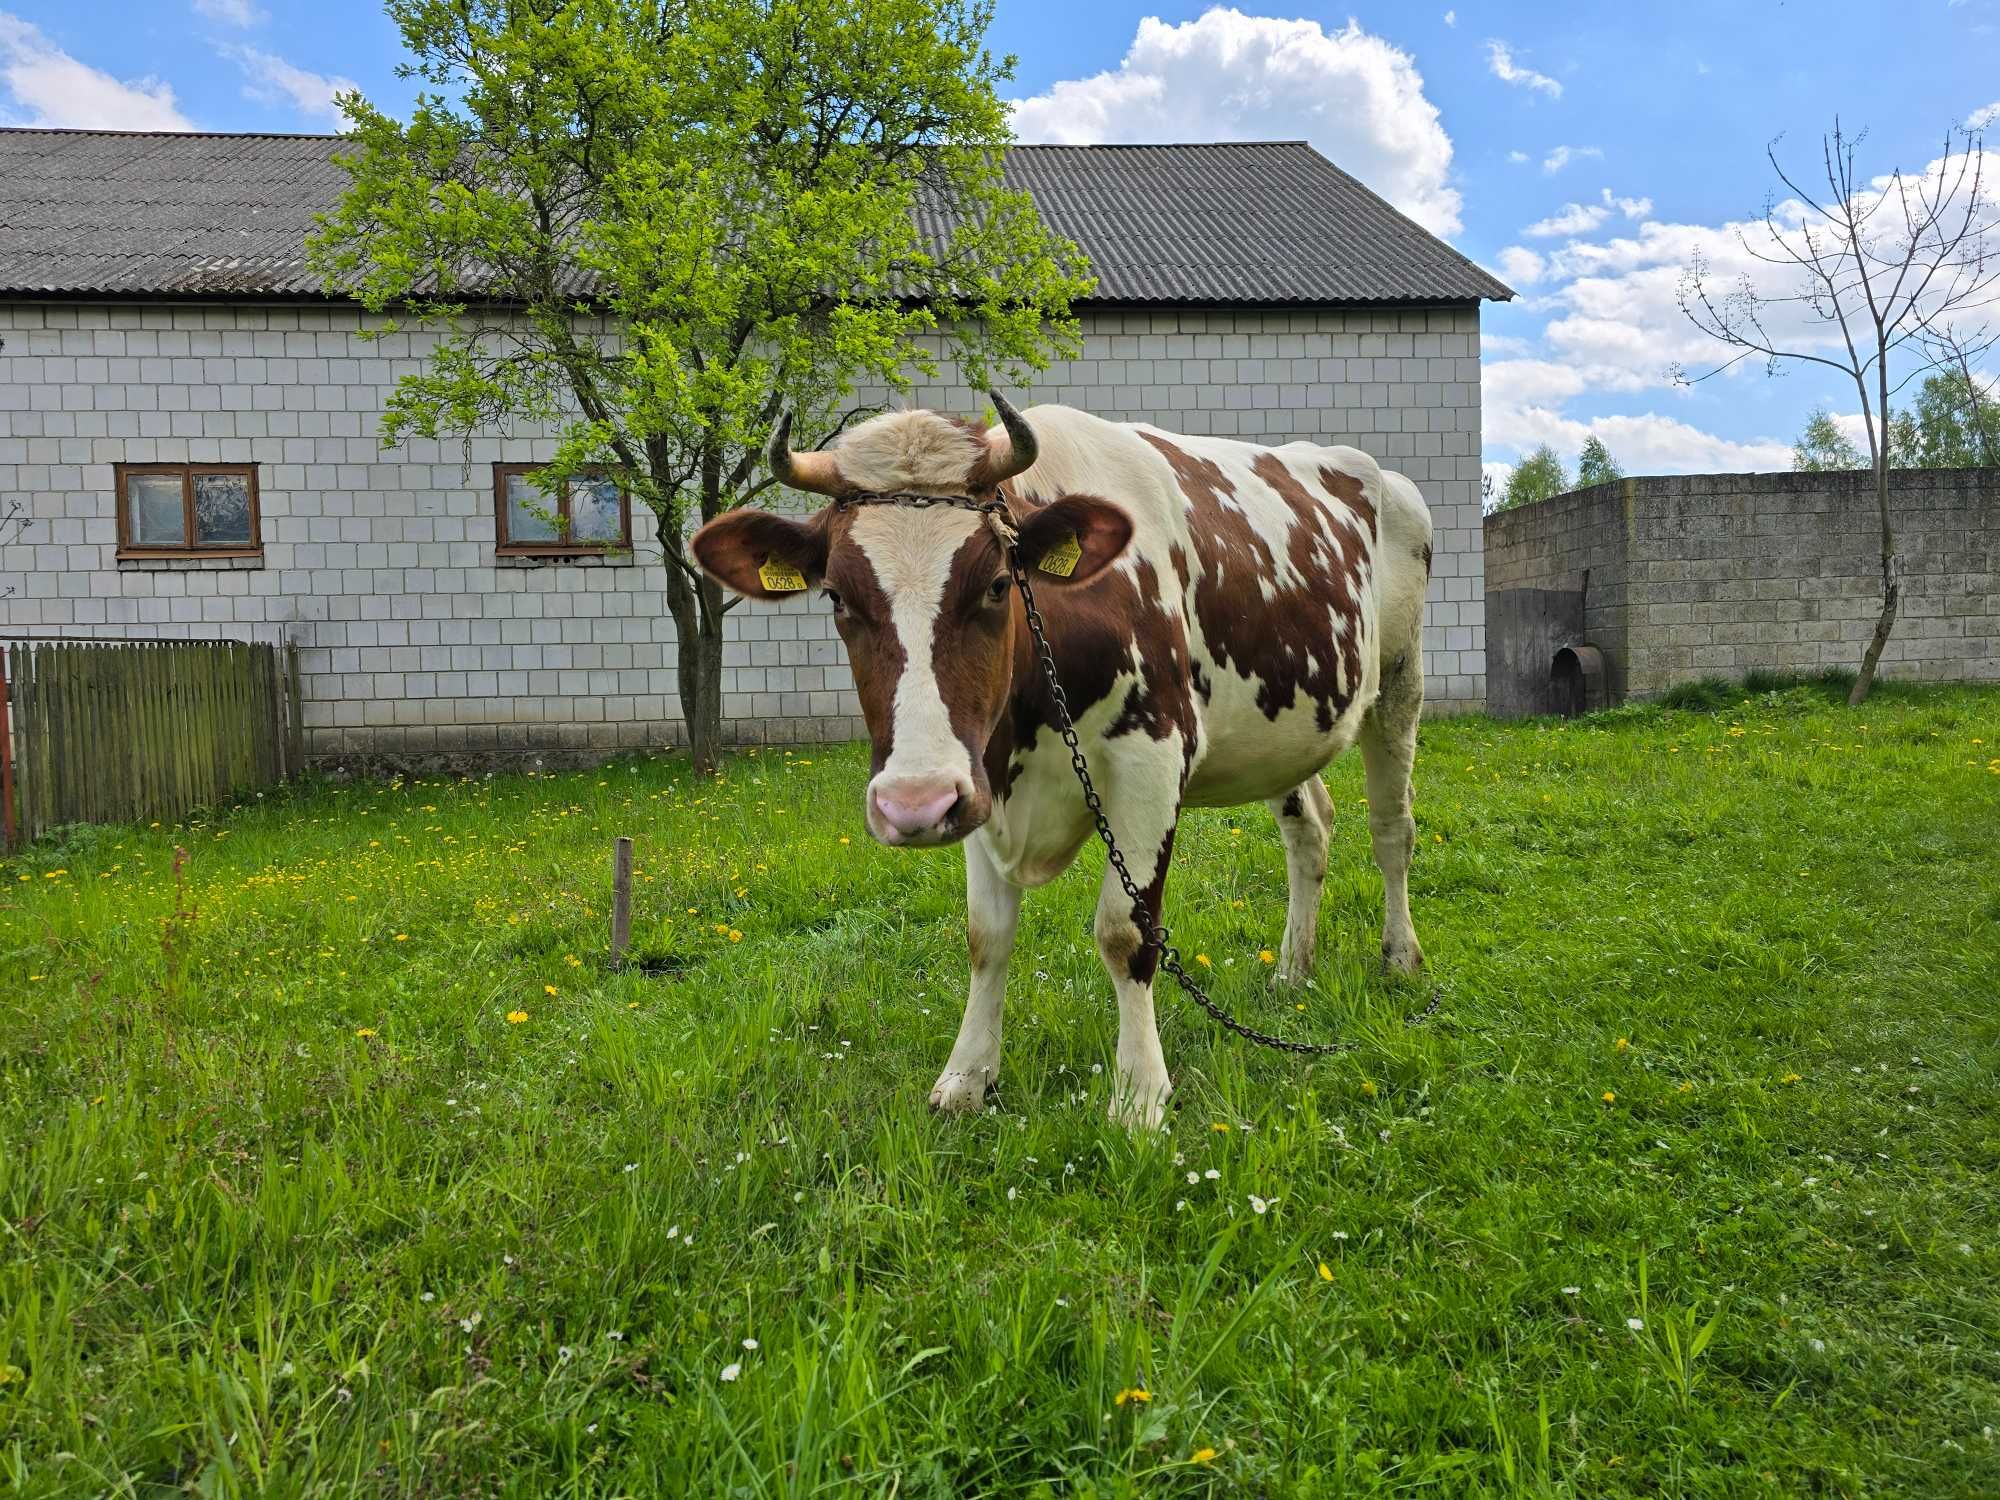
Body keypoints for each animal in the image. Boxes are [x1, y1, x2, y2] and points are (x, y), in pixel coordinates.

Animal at [696, 394, 1432, 1136]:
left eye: (997, 584)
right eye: (838, 599)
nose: (913, 804)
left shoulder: (1151, 760)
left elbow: (1125, 932)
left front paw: (1138, 1096)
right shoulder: (979, 780)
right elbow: (986, 935)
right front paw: (967, 1077)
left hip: (1401, 681)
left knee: (1392, 831)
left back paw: (1400, 956)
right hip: (1287, 727)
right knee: (1309, 830)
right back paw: (1292, 970)